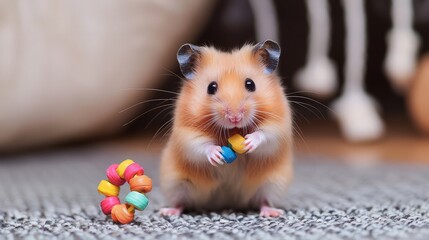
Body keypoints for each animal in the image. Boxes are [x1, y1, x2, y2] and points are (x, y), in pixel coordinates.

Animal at [159, 39, 292, 218]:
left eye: (250, 84)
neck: (233, 130)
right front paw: (217, 154)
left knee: (263, 200)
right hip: (177, 183)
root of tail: (225, 202)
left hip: (272, 183)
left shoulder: (279, 125)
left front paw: (249, 142)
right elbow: (198, 145)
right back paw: (168, 212)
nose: (234, 118)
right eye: (211, 87)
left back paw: (272, 213)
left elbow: (266, 135)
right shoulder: (186, 133)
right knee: (181, 202)